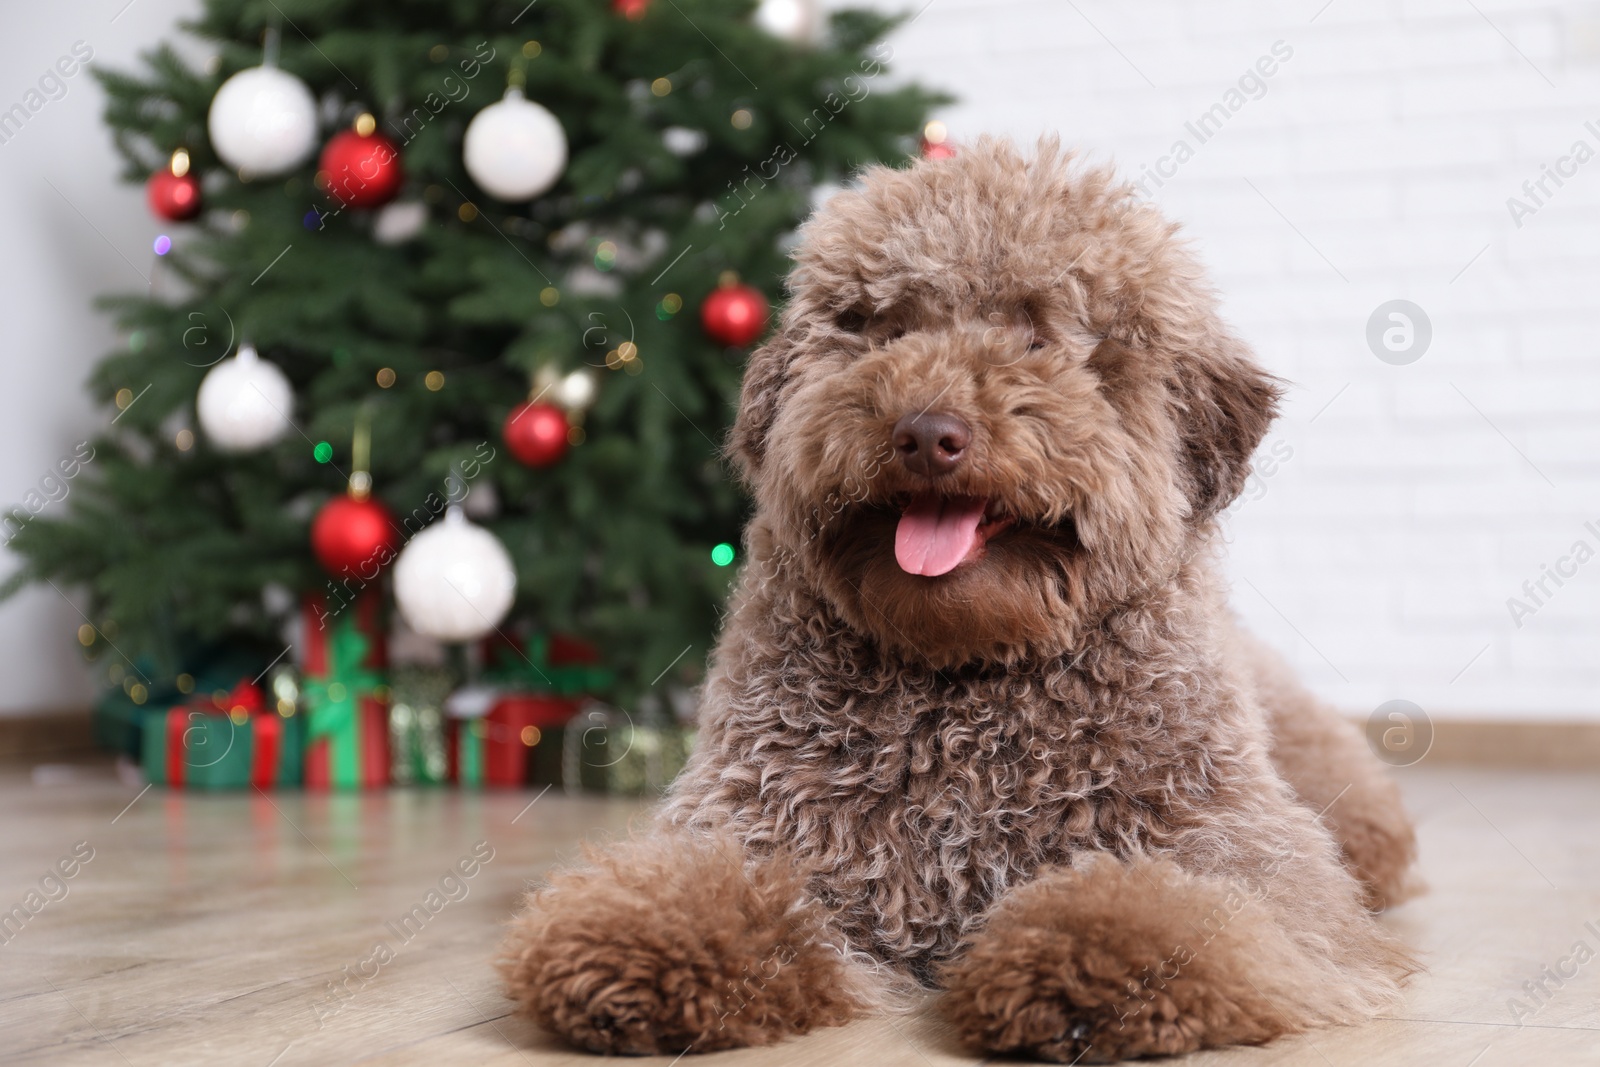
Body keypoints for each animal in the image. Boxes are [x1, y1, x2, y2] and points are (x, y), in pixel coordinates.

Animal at [492, 137, 1420, 1062]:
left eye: (1039, 334)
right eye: (888, 327)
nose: (927, 432)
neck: (967, 678)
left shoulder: (1233, 843)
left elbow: (1176, 906)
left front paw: (1084, 966)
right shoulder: (764, 819)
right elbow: (701, 887)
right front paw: (638, 947)